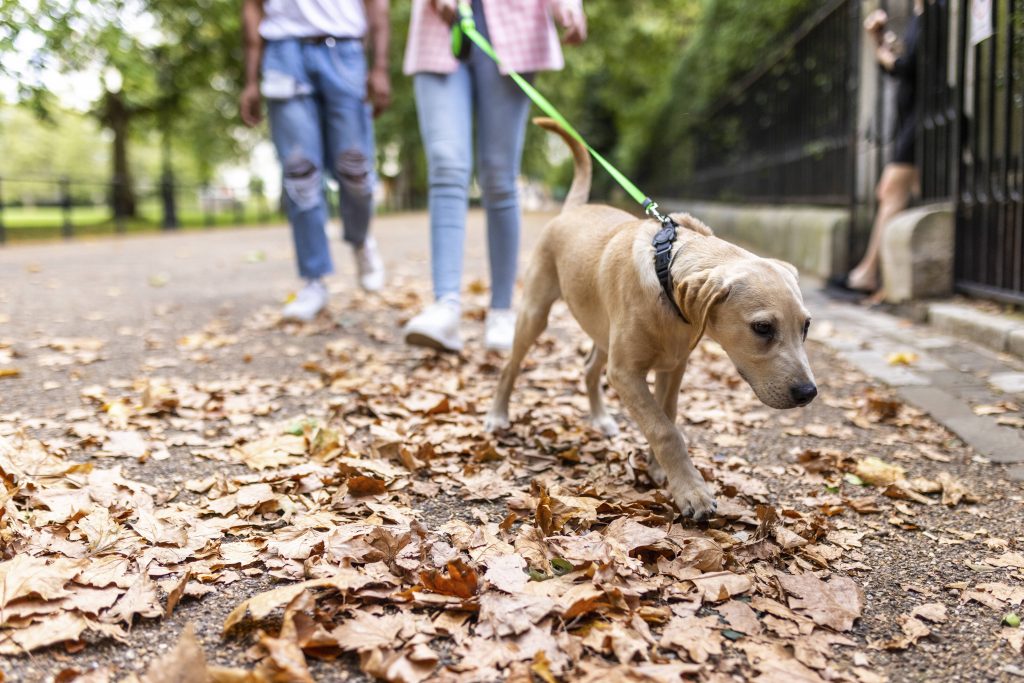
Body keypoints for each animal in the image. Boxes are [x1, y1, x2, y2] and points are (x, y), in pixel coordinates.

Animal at [487, 118, 815, 524]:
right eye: (762, 328)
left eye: (806, 326)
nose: (808, 393)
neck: (666, 267)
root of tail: (572, 210)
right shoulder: (626, 372)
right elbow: (664, 430)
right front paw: (691, 490)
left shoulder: (673, 366)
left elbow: (667, 416)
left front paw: (661, 470)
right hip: (535, 314)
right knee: (511, 366)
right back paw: (498, 415)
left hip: (602, 330)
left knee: (590, 368)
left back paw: (601, 418)